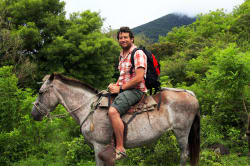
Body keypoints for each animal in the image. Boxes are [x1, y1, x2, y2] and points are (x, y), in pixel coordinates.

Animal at [31, 73, 200, 165]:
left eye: (40, 92)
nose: (33, 114)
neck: (88, 109)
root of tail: (190, 93)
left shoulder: (99, 147)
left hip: (182, 132)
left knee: (184, 155)